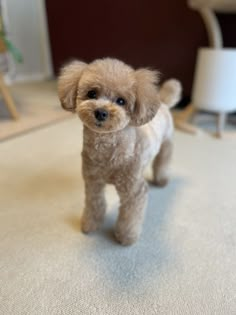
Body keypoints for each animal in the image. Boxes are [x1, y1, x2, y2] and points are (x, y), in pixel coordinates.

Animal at [58, 59, 181, 247]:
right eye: (92, 93)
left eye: (121, 101)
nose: (101, 112)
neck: (107, 150)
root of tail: (164, 102)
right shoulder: (93, 182)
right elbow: (95, 205)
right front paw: (90, 225)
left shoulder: (133, 191)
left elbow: (130, 217)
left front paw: (126, 237)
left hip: (167, 144)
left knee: (162, 163)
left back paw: (161, 180)